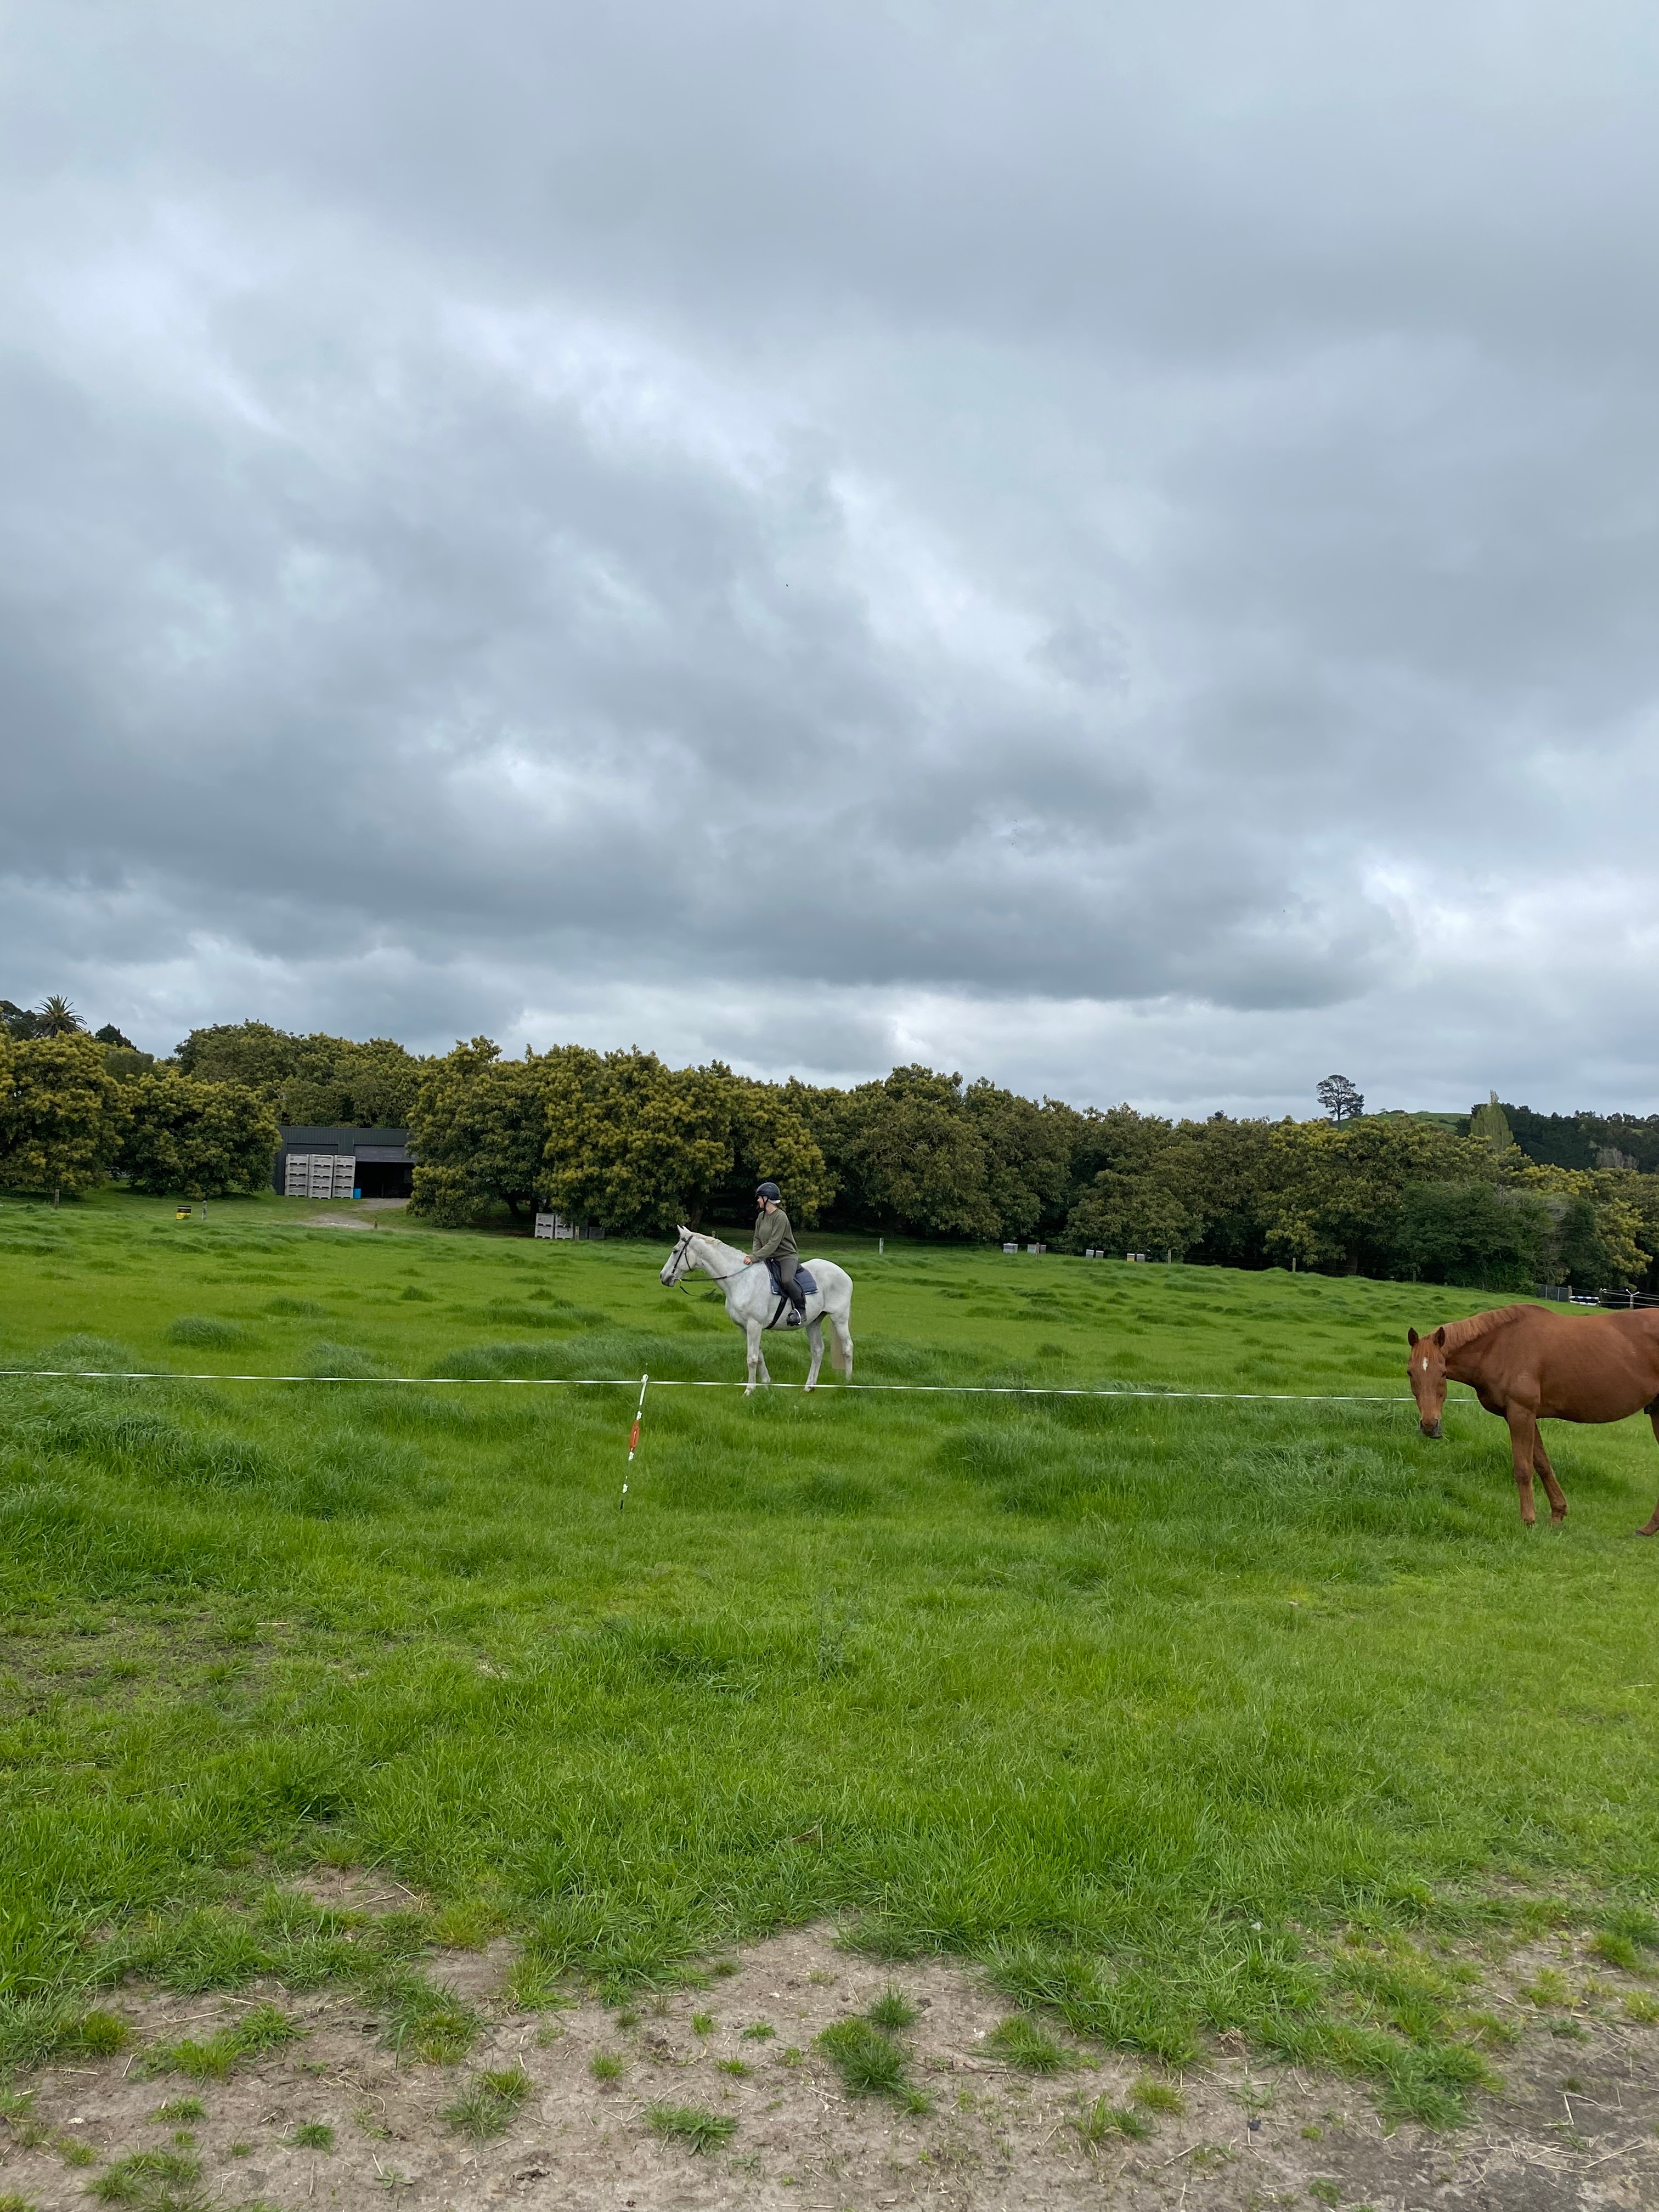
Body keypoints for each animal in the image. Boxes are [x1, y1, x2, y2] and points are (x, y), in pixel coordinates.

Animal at [659, 1229, 858, 1398]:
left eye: (675, 1251)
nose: (663, 1276)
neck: (740, 1279)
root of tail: (843, 1273)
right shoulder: (745, 1327)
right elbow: (759, 1356)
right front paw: (766, 1384)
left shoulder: (754, 1325)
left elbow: (752, 1358)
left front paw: (749, 1390)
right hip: (813, 1322)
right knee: (817, 1350)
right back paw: (809, 1387)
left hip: (839, 1318)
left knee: (847, 1347)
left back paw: (849, 1384)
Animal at [1407, 1300, 1659, 1531]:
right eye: (1410, 1372)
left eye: (1443, 1372)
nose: (1429, 1425)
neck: (1500, 1346)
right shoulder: (1524, 1416)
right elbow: (1542, 1464)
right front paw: (1557, 1514)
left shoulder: (1521, 1413)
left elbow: (1523, 1468)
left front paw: (1528, 1520)